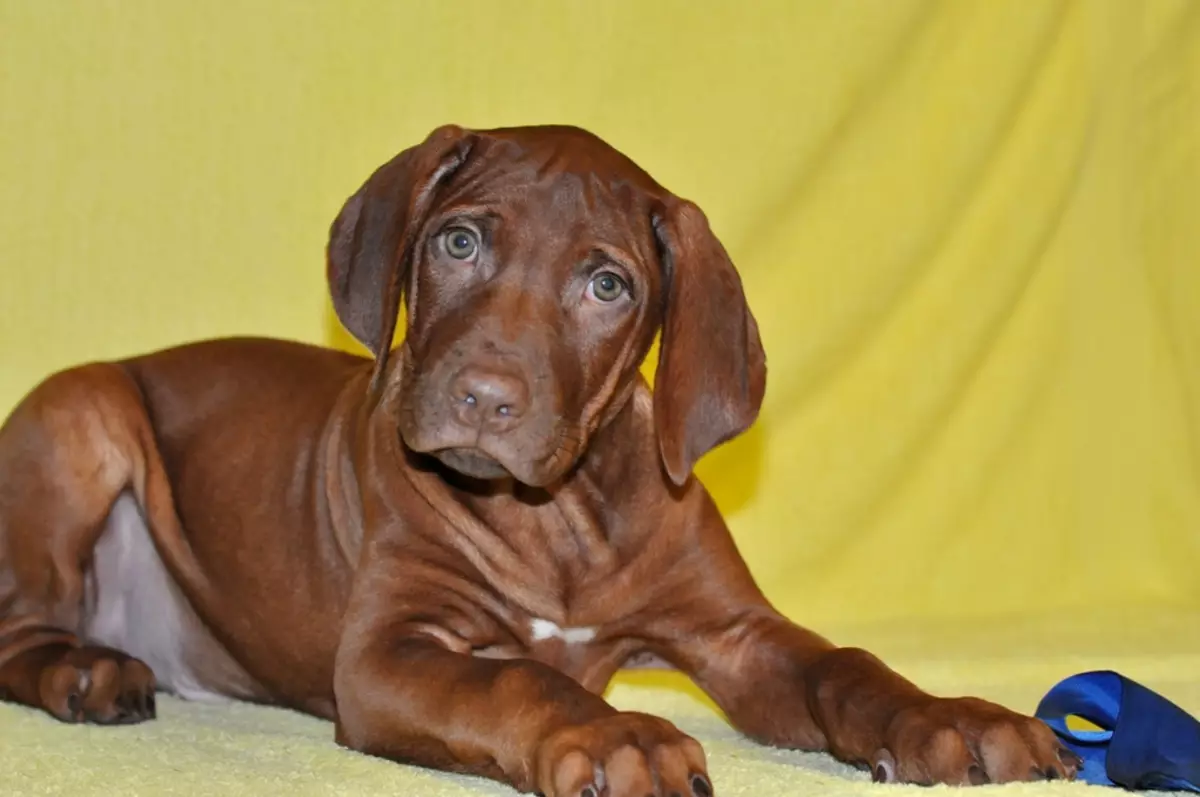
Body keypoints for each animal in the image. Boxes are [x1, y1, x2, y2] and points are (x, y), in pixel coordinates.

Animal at [0, 126, 1075, 797]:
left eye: (607, 284)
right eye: (458, 241)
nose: (484, 399)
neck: (559, 514)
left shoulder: (734, 635)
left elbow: (845, 666)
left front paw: (953, 717)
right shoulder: (391, 653)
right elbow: (517, 679)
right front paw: (618, 736)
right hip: (85, 409)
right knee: (18, 624)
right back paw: (87, 671)